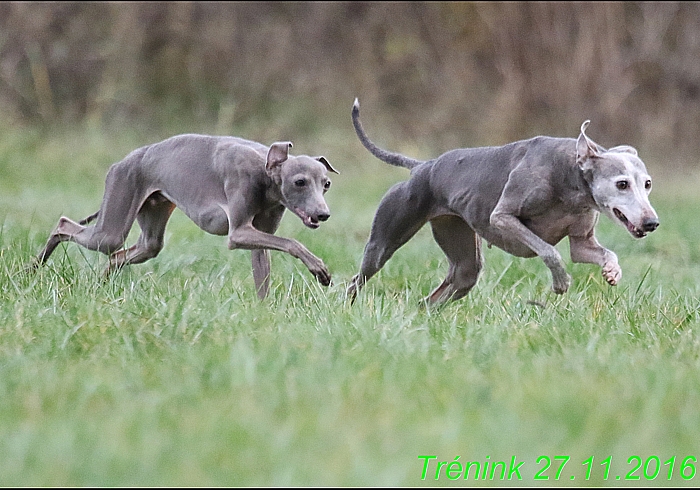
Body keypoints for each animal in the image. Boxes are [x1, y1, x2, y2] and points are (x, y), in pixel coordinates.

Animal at [30, 132, 340, 298]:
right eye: (299, 182)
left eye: (326, 184)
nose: (323, 214)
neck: (265, 172)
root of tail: (122, 162)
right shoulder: (239, 232)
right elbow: (292, 242)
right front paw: (319, 269)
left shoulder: (259, 235)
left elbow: (263, 271)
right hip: (113, 220)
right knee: (65, 225)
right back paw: (33, 268)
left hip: (151, 223)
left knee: (121, 256)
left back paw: (100, 286)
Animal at [348, 99, 660, 304]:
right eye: (622, 184)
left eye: (647, 184)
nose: (652, 222)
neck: (569, 176)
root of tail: (422, 166)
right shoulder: (503, 218)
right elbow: (549, 250)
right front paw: (561, 282)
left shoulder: (582, 242)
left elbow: (597, 252)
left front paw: (612, 271)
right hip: (384, 241)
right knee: (357, 279)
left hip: (463, 261)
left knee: (436, 297)